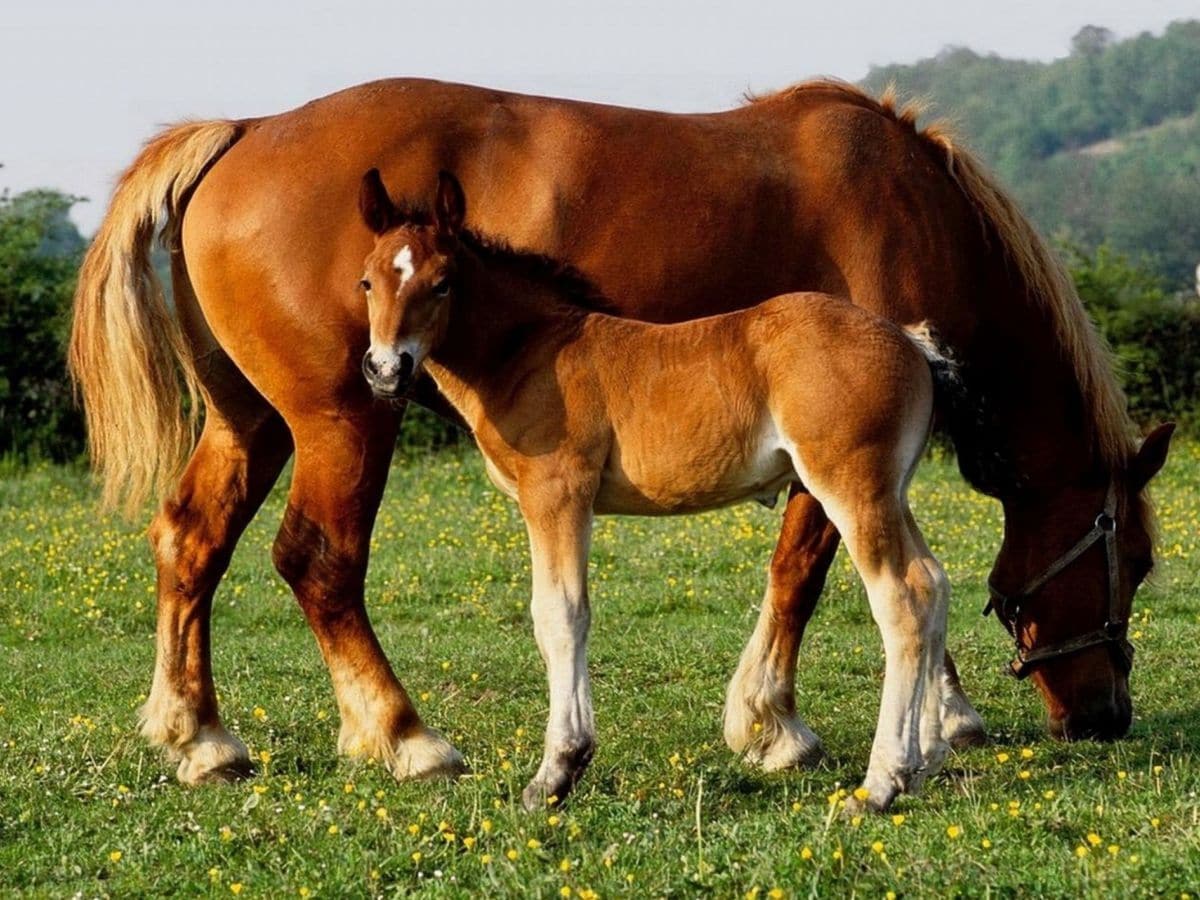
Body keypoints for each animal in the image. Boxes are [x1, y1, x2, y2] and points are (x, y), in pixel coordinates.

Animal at [70, 81, 1166, 792]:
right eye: (1137, 559)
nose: (1105, 719)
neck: (913, 202)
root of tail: (243, 131)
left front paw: (925, 722)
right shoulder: (824, 471)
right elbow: (803, 575)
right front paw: (779, 725)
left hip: (252, 421)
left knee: (192, 541)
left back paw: (201, 738)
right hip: (342, 420)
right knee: (318, 561)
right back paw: (406, 736)